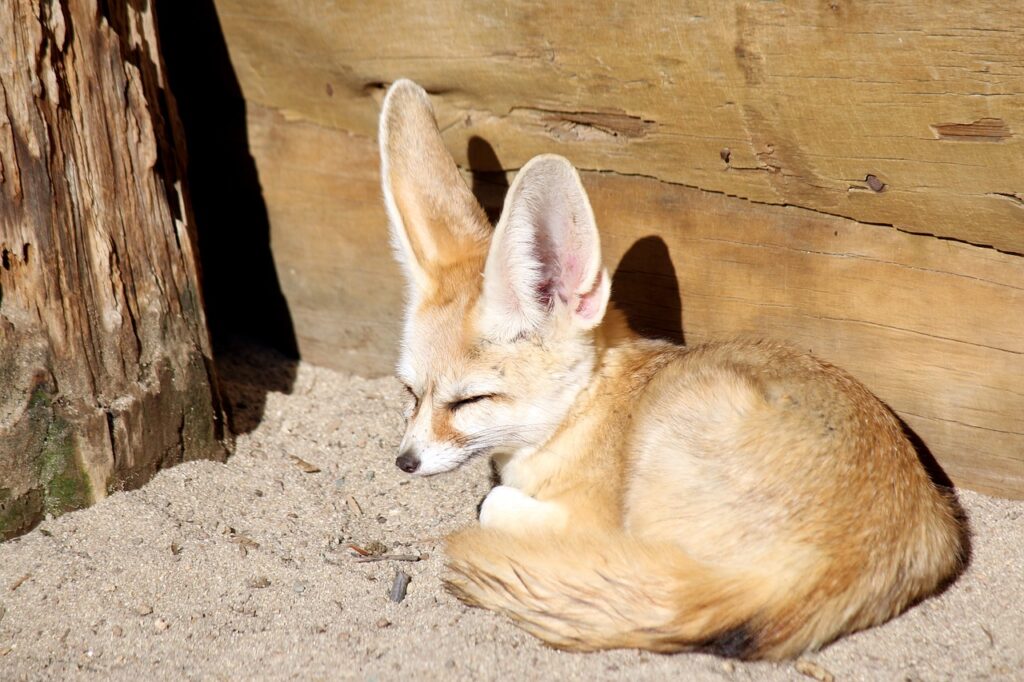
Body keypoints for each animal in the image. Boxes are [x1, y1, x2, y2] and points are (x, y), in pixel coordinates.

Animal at [380, 80, 962, 659]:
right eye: (411, 392)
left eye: (471, 400)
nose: (404, 462)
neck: (588, 410)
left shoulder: (592, 513)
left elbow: (494, 501)